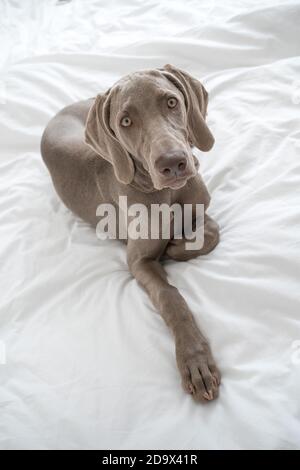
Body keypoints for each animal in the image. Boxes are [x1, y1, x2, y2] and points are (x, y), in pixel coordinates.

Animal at [41, 63, 220, 404]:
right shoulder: (138, 261)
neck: (165, 193)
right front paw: (195, 360)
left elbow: (211, 232)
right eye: (125, 122)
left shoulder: (200, 207)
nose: (173, 164)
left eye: (171, 102)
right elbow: (170, 296)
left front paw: (176, 243)